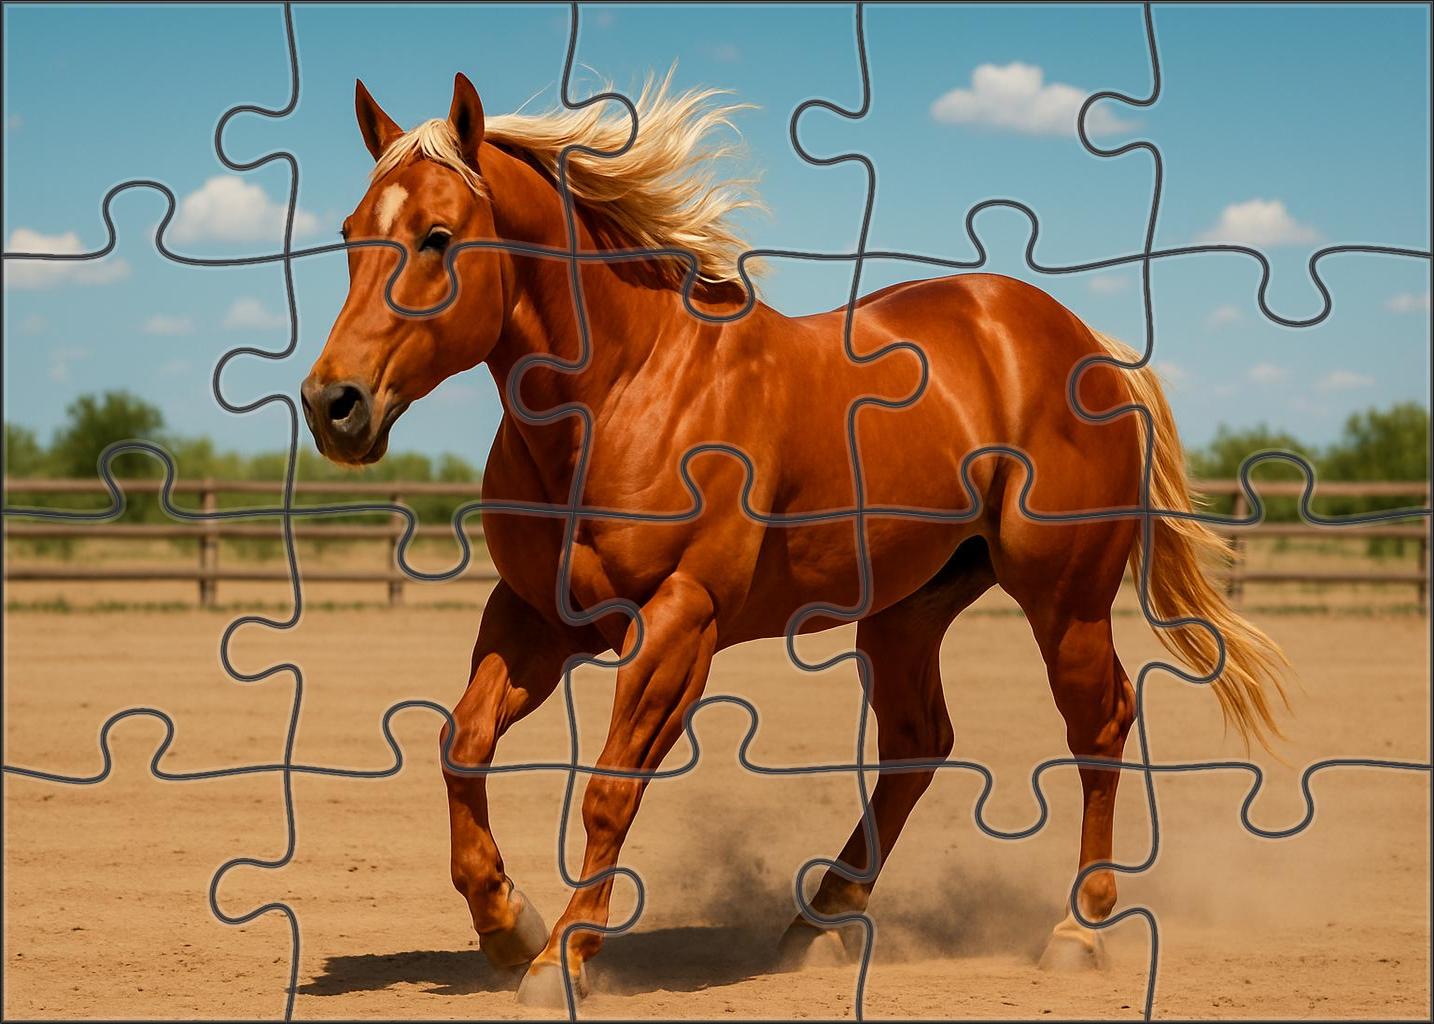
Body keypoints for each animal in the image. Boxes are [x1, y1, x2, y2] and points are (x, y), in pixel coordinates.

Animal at [301, 72, 1290, 1006]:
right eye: (348, 232)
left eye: (437, 236)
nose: (331, 404)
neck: (619, 394)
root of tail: (1087, 345)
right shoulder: (537, 618)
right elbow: (460, 746)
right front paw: (507, 923)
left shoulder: (677, 624)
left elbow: (610, 790)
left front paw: (562, 960)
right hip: (906, 610)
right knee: (918, 741)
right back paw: (821, 918)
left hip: (1065, 601)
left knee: (1099, 723)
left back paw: (1076, 929)